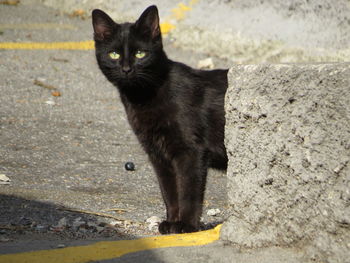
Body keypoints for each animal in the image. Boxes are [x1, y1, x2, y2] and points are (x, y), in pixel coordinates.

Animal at [93, 4, 228, 235]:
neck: (141, 98)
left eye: (140, 53)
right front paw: (171, 222)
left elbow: (188, 191)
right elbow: (169, 192)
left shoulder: (191, 152)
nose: (126, 69)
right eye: (114, 54)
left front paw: (186, 225)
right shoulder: (158, 155)